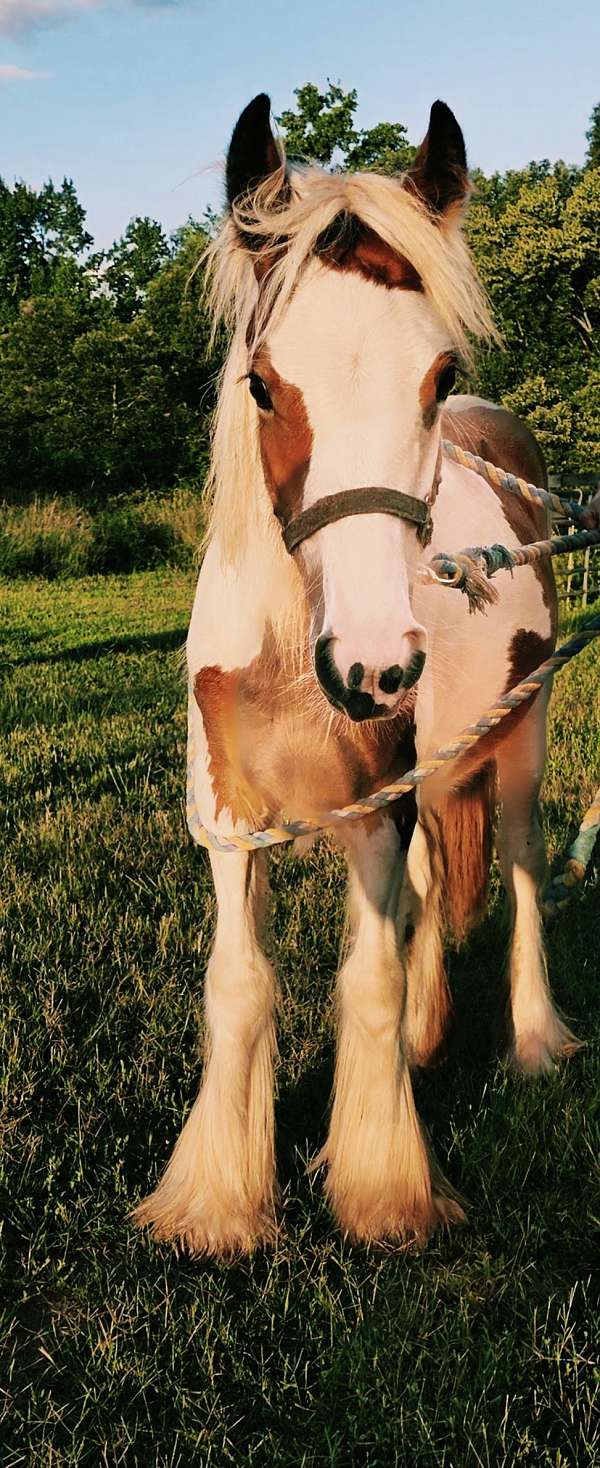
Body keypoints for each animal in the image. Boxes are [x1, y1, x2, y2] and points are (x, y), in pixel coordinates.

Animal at [134, 95, 579, 1257]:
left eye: (439, 375)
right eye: (261, 382)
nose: (376, 665)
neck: (289, 654)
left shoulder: (375, 810)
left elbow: (366, 980)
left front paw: (381, 1189)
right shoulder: (229, 822)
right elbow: (238, 987)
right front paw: (218, 1203)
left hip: (521, 734)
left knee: (520, 864)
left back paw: (534, 1037)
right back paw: (432, 1033)